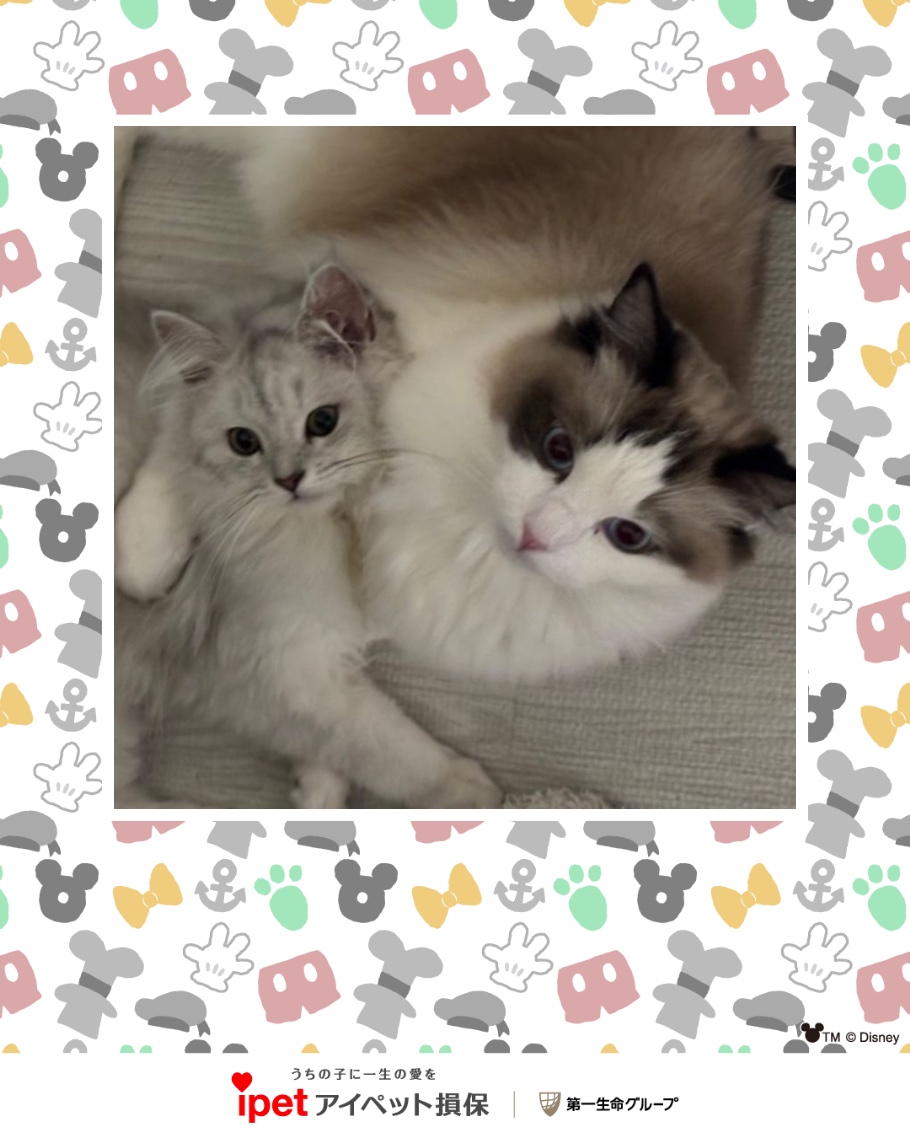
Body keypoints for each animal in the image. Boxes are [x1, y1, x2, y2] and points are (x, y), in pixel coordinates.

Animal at [114, 263, 503, 809]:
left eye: (323, 422)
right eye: (244, 442)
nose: (288, 481)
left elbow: (336, 747)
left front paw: (315, 791)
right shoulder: (282, 669)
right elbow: (387, 748)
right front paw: (472, 790)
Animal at [116, 126, 795, 686]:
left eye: (628, 535)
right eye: (558, 449)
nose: (535, 533)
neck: (461, 523)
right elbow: (190, 411)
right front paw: (143, 556)